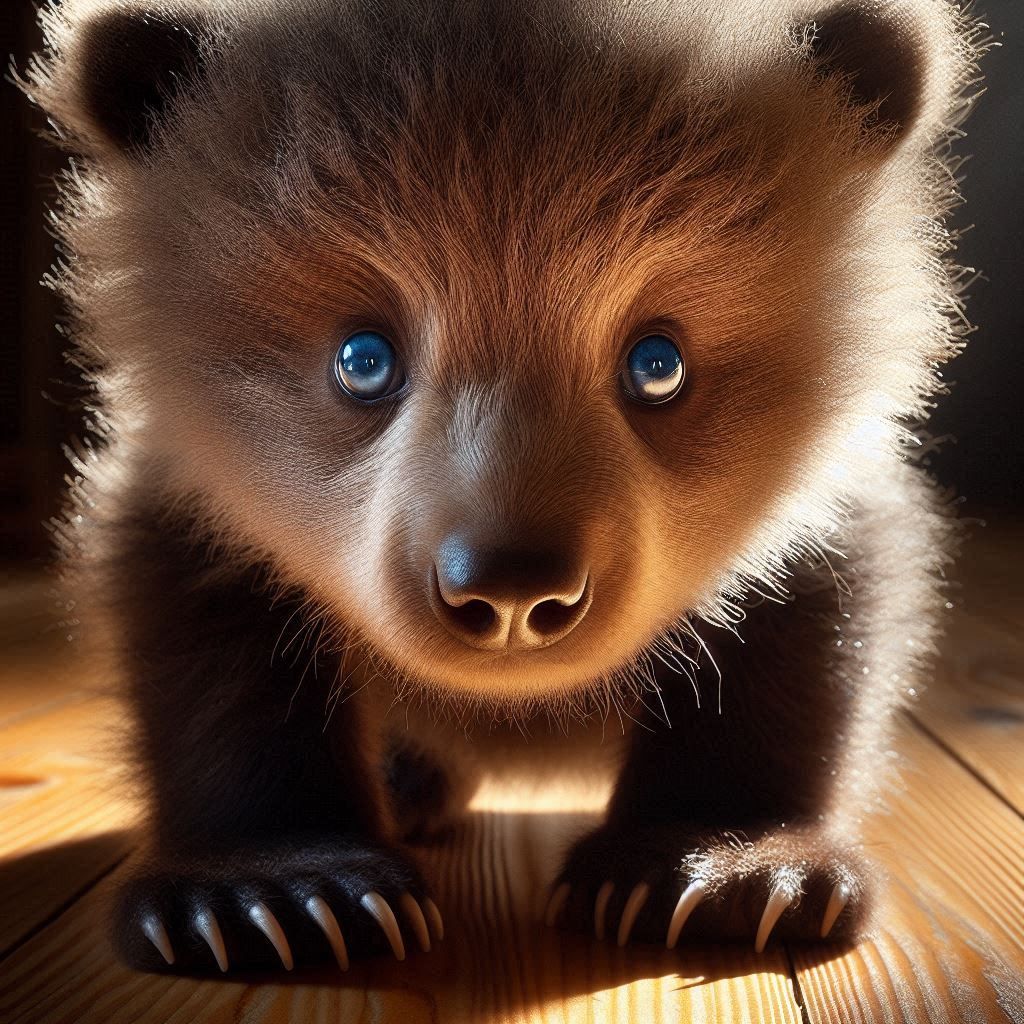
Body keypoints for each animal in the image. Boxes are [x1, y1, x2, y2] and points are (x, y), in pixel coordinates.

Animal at [20, 0, 984, 972]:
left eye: (658, 364)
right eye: (362, 359)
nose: (512, 589)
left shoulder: (816, 499)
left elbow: (802, 636)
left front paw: (730, 869)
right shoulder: (202, 488)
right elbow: (215, 659)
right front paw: (270, 891)